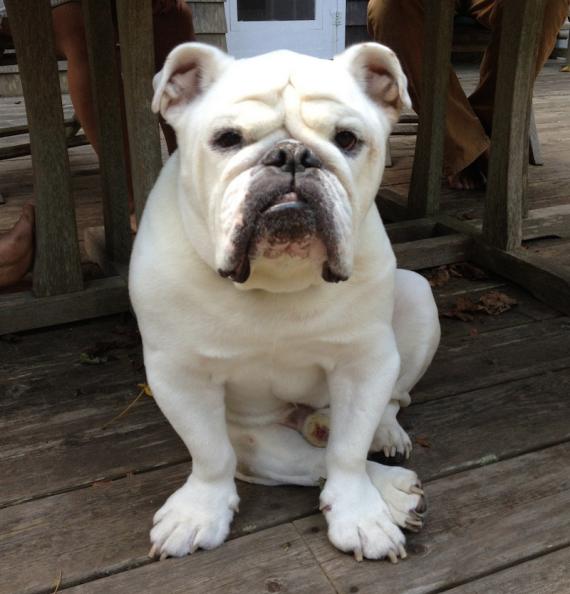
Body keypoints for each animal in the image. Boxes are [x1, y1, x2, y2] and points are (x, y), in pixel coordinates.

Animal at [129, 41, 440, 563]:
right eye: (227, 139)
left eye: (348, 139)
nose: (293, 154)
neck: (276, 282)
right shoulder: (178, 375)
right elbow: (210, 455)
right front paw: (199, 512)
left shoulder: (364, 362)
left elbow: (349, 453)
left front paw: (360, 515)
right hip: (252, 435)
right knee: (295, 458)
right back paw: (390, 489)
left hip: (417, 296)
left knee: (386, 405)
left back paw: (385, 442)